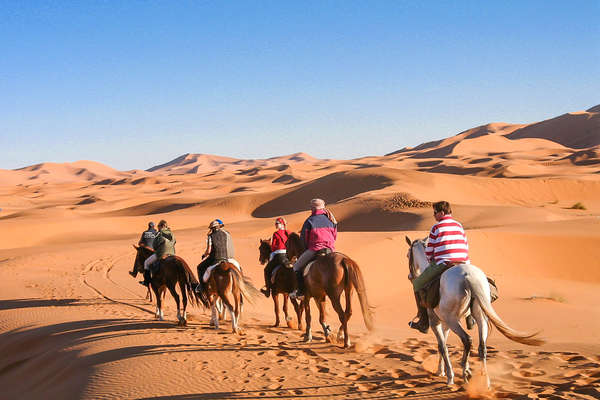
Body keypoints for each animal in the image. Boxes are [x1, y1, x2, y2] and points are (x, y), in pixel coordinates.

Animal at [406, 236, 548, 386]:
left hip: (452, 320)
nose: (410, 276)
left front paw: (449, 376)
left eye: (408, 255)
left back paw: (465, 373)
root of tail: (467, 276)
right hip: (478, 315)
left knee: (467, 340)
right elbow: (442, 344)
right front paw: (441, 370)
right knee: (482, 346)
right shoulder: (444, 323)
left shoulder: (436, 322)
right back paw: (484, 380)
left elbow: (442, 346)